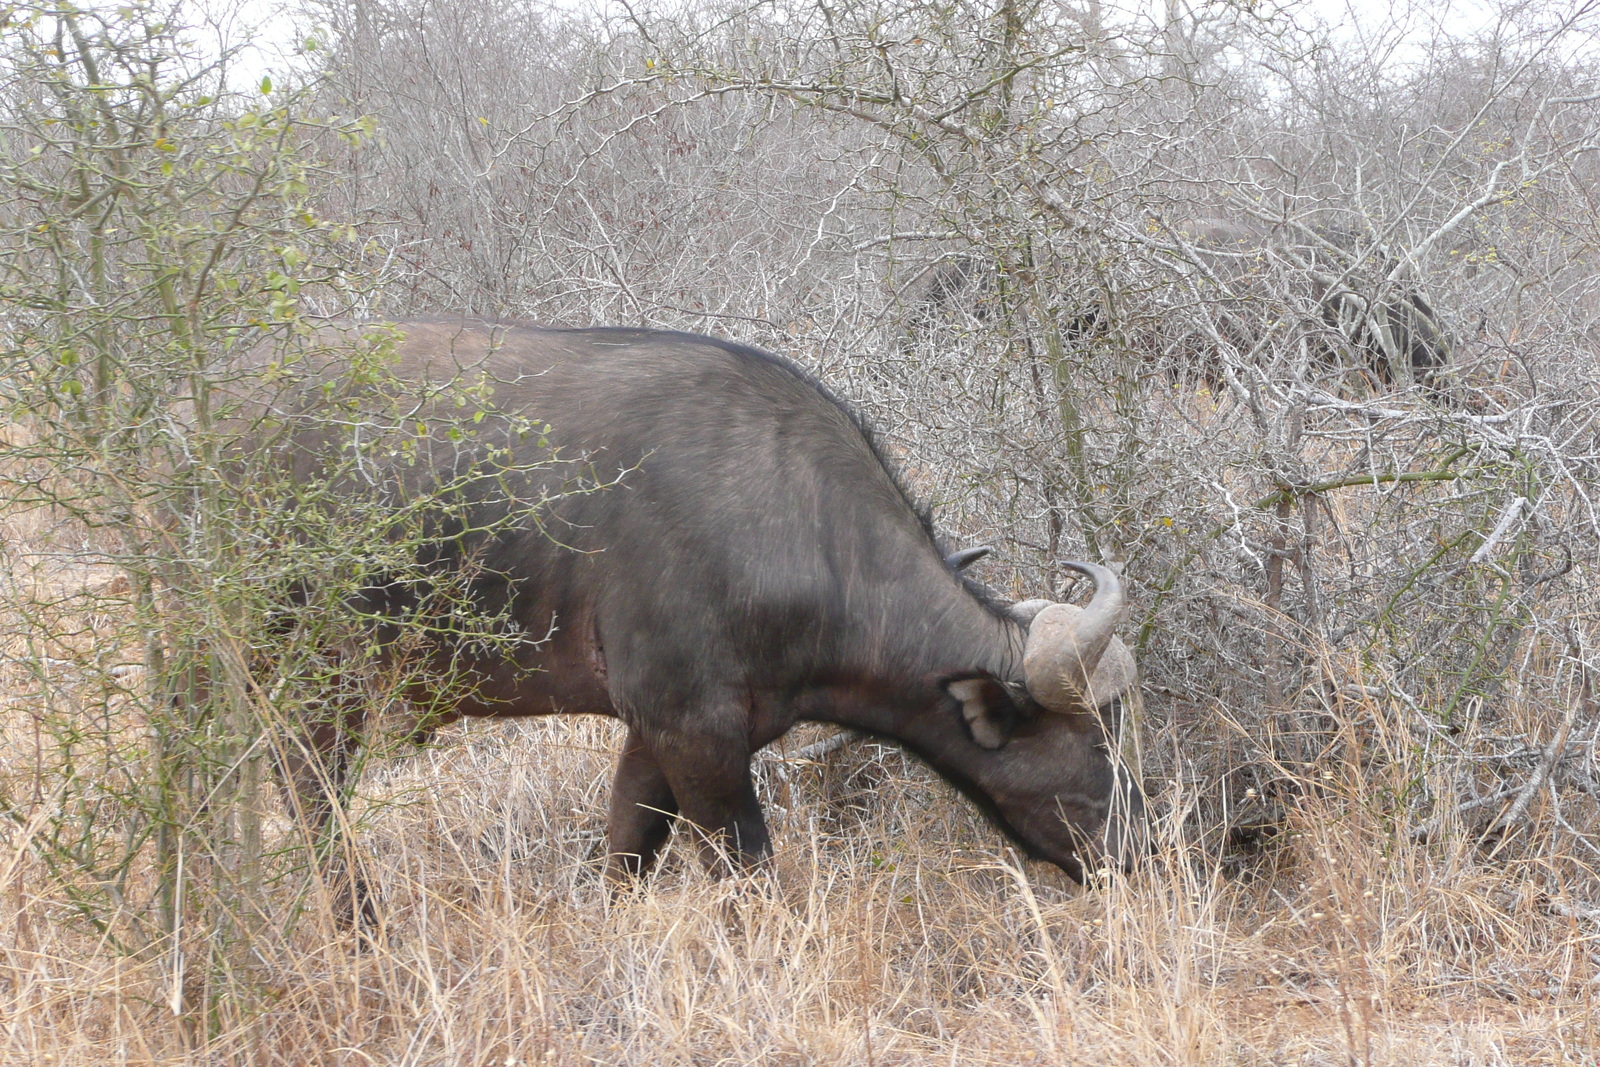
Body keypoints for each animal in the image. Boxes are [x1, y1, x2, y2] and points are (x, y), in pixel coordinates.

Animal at [262, 321, 1145, 895]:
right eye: (1096, 743)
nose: (1141, 848)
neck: (803, 526)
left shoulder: (662, 737)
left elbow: (627, 846)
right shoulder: (698, 735)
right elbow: (748, 871)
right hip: (316, 690)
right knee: (315, 809)